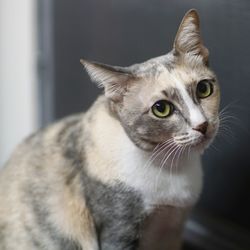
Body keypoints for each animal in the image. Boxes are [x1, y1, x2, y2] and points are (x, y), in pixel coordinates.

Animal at [0, 8, 219, 249]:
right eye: (161, 109)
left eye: (204, 88)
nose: (202, 125)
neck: (171, 166)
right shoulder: (117, 228)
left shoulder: (173, 232)